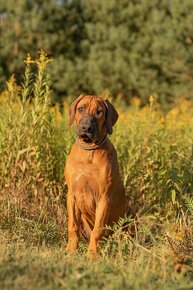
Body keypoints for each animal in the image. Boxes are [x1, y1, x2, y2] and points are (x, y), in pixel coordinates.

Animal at [64, 94, 126, 258]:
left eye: (99, 112)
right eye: (80, 109)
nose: (86, 128)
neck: (88, 152)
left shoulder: (104, 198)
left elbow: (97, 230)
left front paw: (92, 255)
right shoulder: (71, 195)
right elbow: (73, 227)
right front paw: (70, 251)